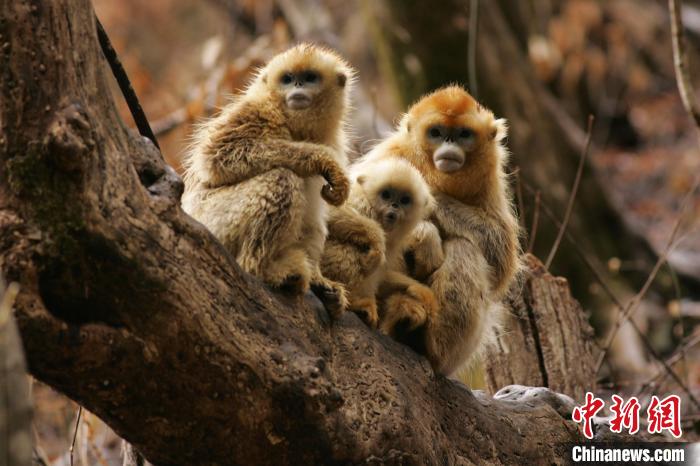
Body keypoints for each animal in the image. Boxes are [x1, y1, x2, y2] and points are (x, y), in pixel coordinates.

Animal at [182, 43, 352, 314]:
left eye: (310, 78)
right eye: (288, 79)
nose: (298, 86)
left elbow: (313, 219)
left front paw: (321, 282)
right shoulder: (259, 110)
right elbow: (216, 156)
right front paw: (322, 159)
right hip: (214, 223)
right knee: (281, 178)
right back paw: (263, 270)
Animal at [366, 86, 520, 374]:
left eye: (463, 134)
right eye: (436, 133)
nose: (449, 144)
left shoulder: (490, 181)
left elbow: (501, 258)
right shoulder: (388, 156)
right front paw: (425, 234)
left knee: (464, 247)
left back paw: (424, 342)